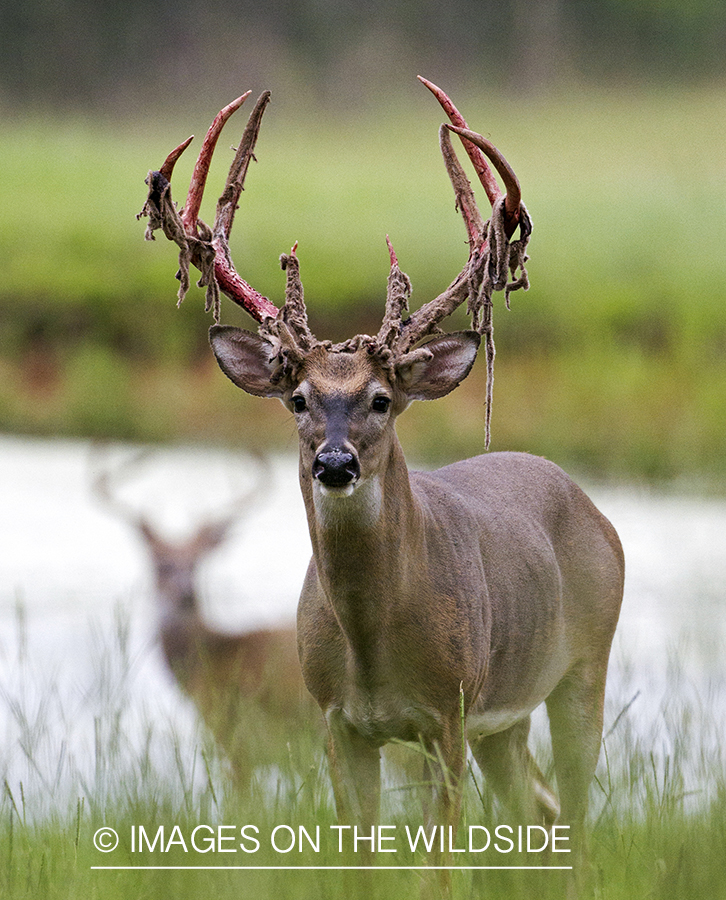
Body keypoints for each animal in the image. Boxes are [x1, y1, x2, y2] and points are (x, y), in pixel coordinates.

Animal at [141, 77, 624, 864]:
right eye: (298, 398)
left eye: (381, 399)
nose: (335, 462)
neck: (372, 645)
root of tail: (591, 505)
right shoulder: (336, 721)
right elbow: (359, 857)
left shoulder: (447, 715)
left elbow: (439, 864)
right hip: (507, 719)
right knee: (542, 812)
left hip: (583, 665)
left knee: (579, 817)